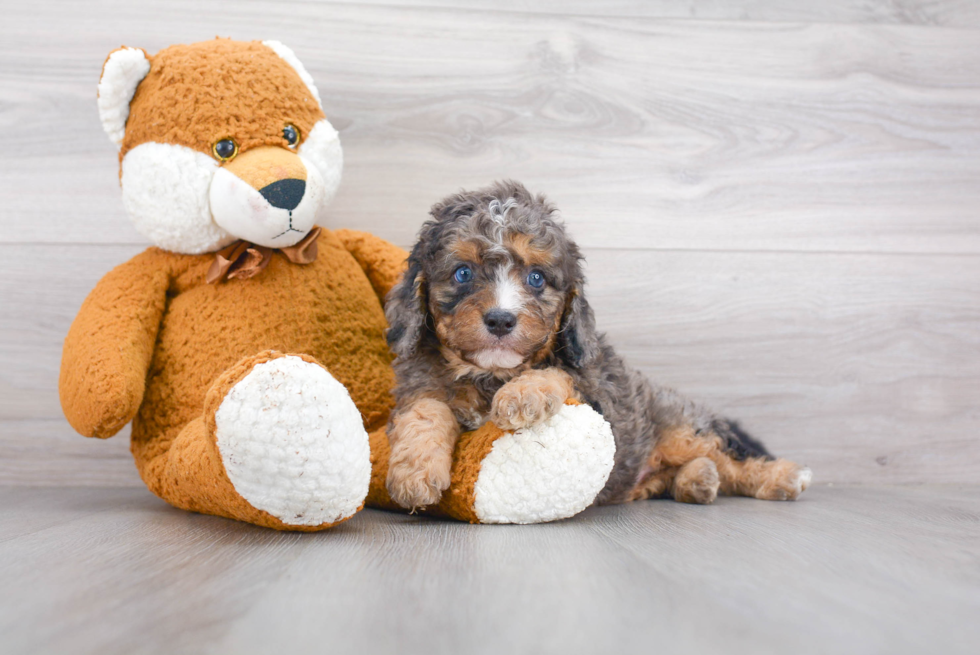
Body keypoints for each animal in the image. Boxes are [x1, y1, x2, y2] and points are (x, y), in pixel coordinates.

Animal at [382, 181, 812, 512]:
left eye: (536, 278)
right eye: (463, 273)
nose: (501, 320)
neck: (489, 373)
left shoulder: (594, 388)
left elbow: (556, 371)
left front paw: (523, 395)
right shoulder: (419, 384)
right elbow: (425, 411)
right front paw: (415, 473)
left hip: (681, 428)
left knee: (730, 459)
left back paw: (784, 476)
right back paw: (697, 480)